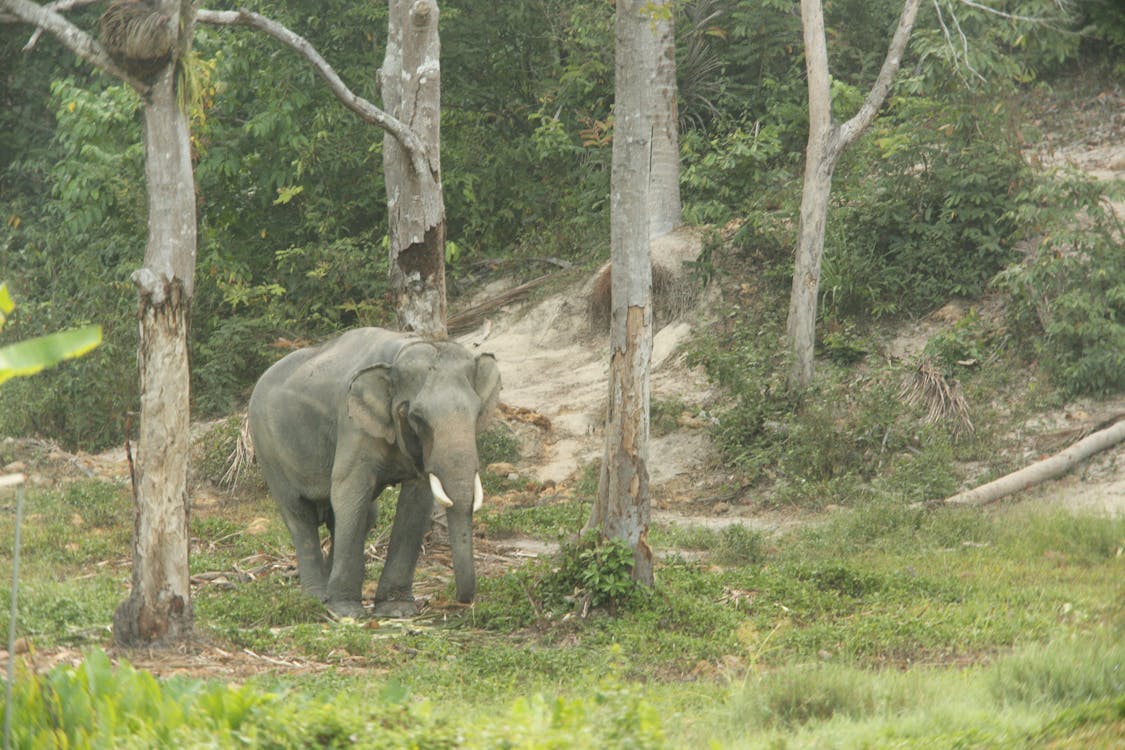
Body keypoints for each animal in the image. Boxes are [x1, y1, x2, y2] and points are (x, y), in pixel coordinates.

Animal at [253, 330, 504, 620]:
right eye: (418, 417)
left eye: (477, 413)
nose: (461, 600)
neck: (400, 353)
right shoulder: (353, 426)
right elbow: (349, 490)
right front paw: (346, 611)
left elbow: (417, 500)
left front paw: (397, 610)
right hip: (268, 450)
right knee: (300, 515)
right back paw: (316, 598)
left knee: (360, 516)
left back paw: (326, 592)